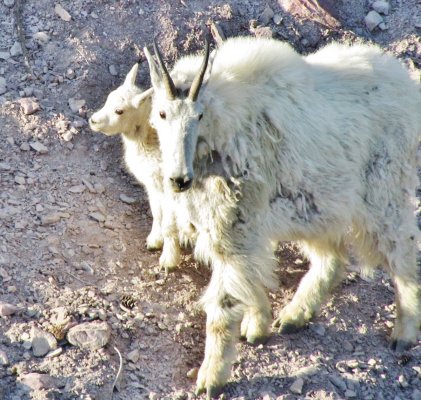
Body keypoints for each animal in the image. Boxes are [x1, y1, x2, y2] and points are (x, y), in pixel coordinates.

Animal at [144, 36, 420, 396]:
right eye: (162, 113)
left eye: (199, 116)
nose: (179, 179)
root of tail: (407, 86)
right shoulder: (239, 229)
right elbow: (251, 282)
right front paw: (257, 326)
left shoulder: (234, 228)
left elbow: (223, 306)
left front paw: (210, 379)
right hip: (315, 203)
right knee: (333, 258)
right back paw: (293, 316)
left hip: (383, 190)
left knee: (402, 248)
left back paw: (404, 332)